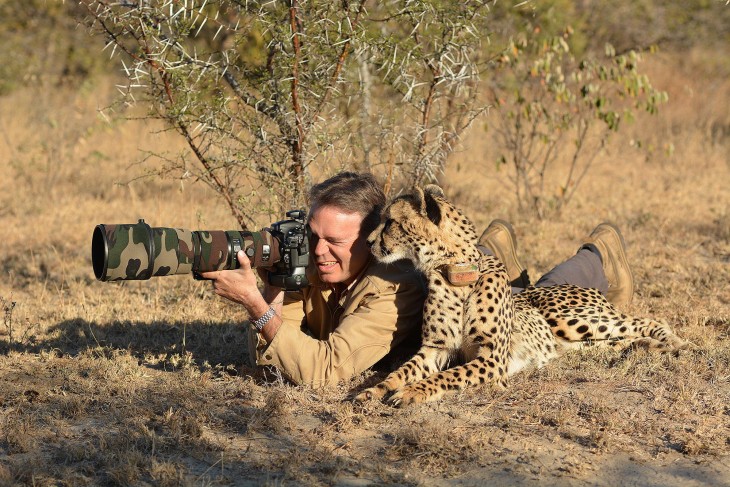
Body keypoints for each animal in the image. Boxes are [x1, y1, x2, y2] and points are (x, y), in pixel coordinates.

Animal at [356, 185, 684, 406]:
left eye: (391, 222)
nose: (369, 242)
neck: (455, 273)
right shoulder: (435, 349)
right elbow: (401, 371)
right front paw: (374, 390)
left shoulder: (492, 360)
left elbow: (445, 377)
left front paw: (412, 392)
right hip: (577, 343)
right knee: (619, 339)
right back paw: (646, 347)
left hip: (571, 319)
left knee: (646, 321)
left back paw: (672, 343)